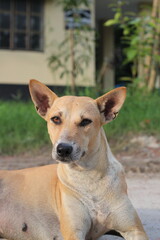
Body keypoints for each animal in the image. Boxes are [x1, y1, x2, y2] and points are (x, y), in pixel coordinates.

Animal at [0, 79, 149, 239]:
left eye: (85, 121)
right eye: (56, 119)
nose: (63, 149)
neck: (89, 176)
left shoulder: (134, 229)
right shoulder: (74, 231)